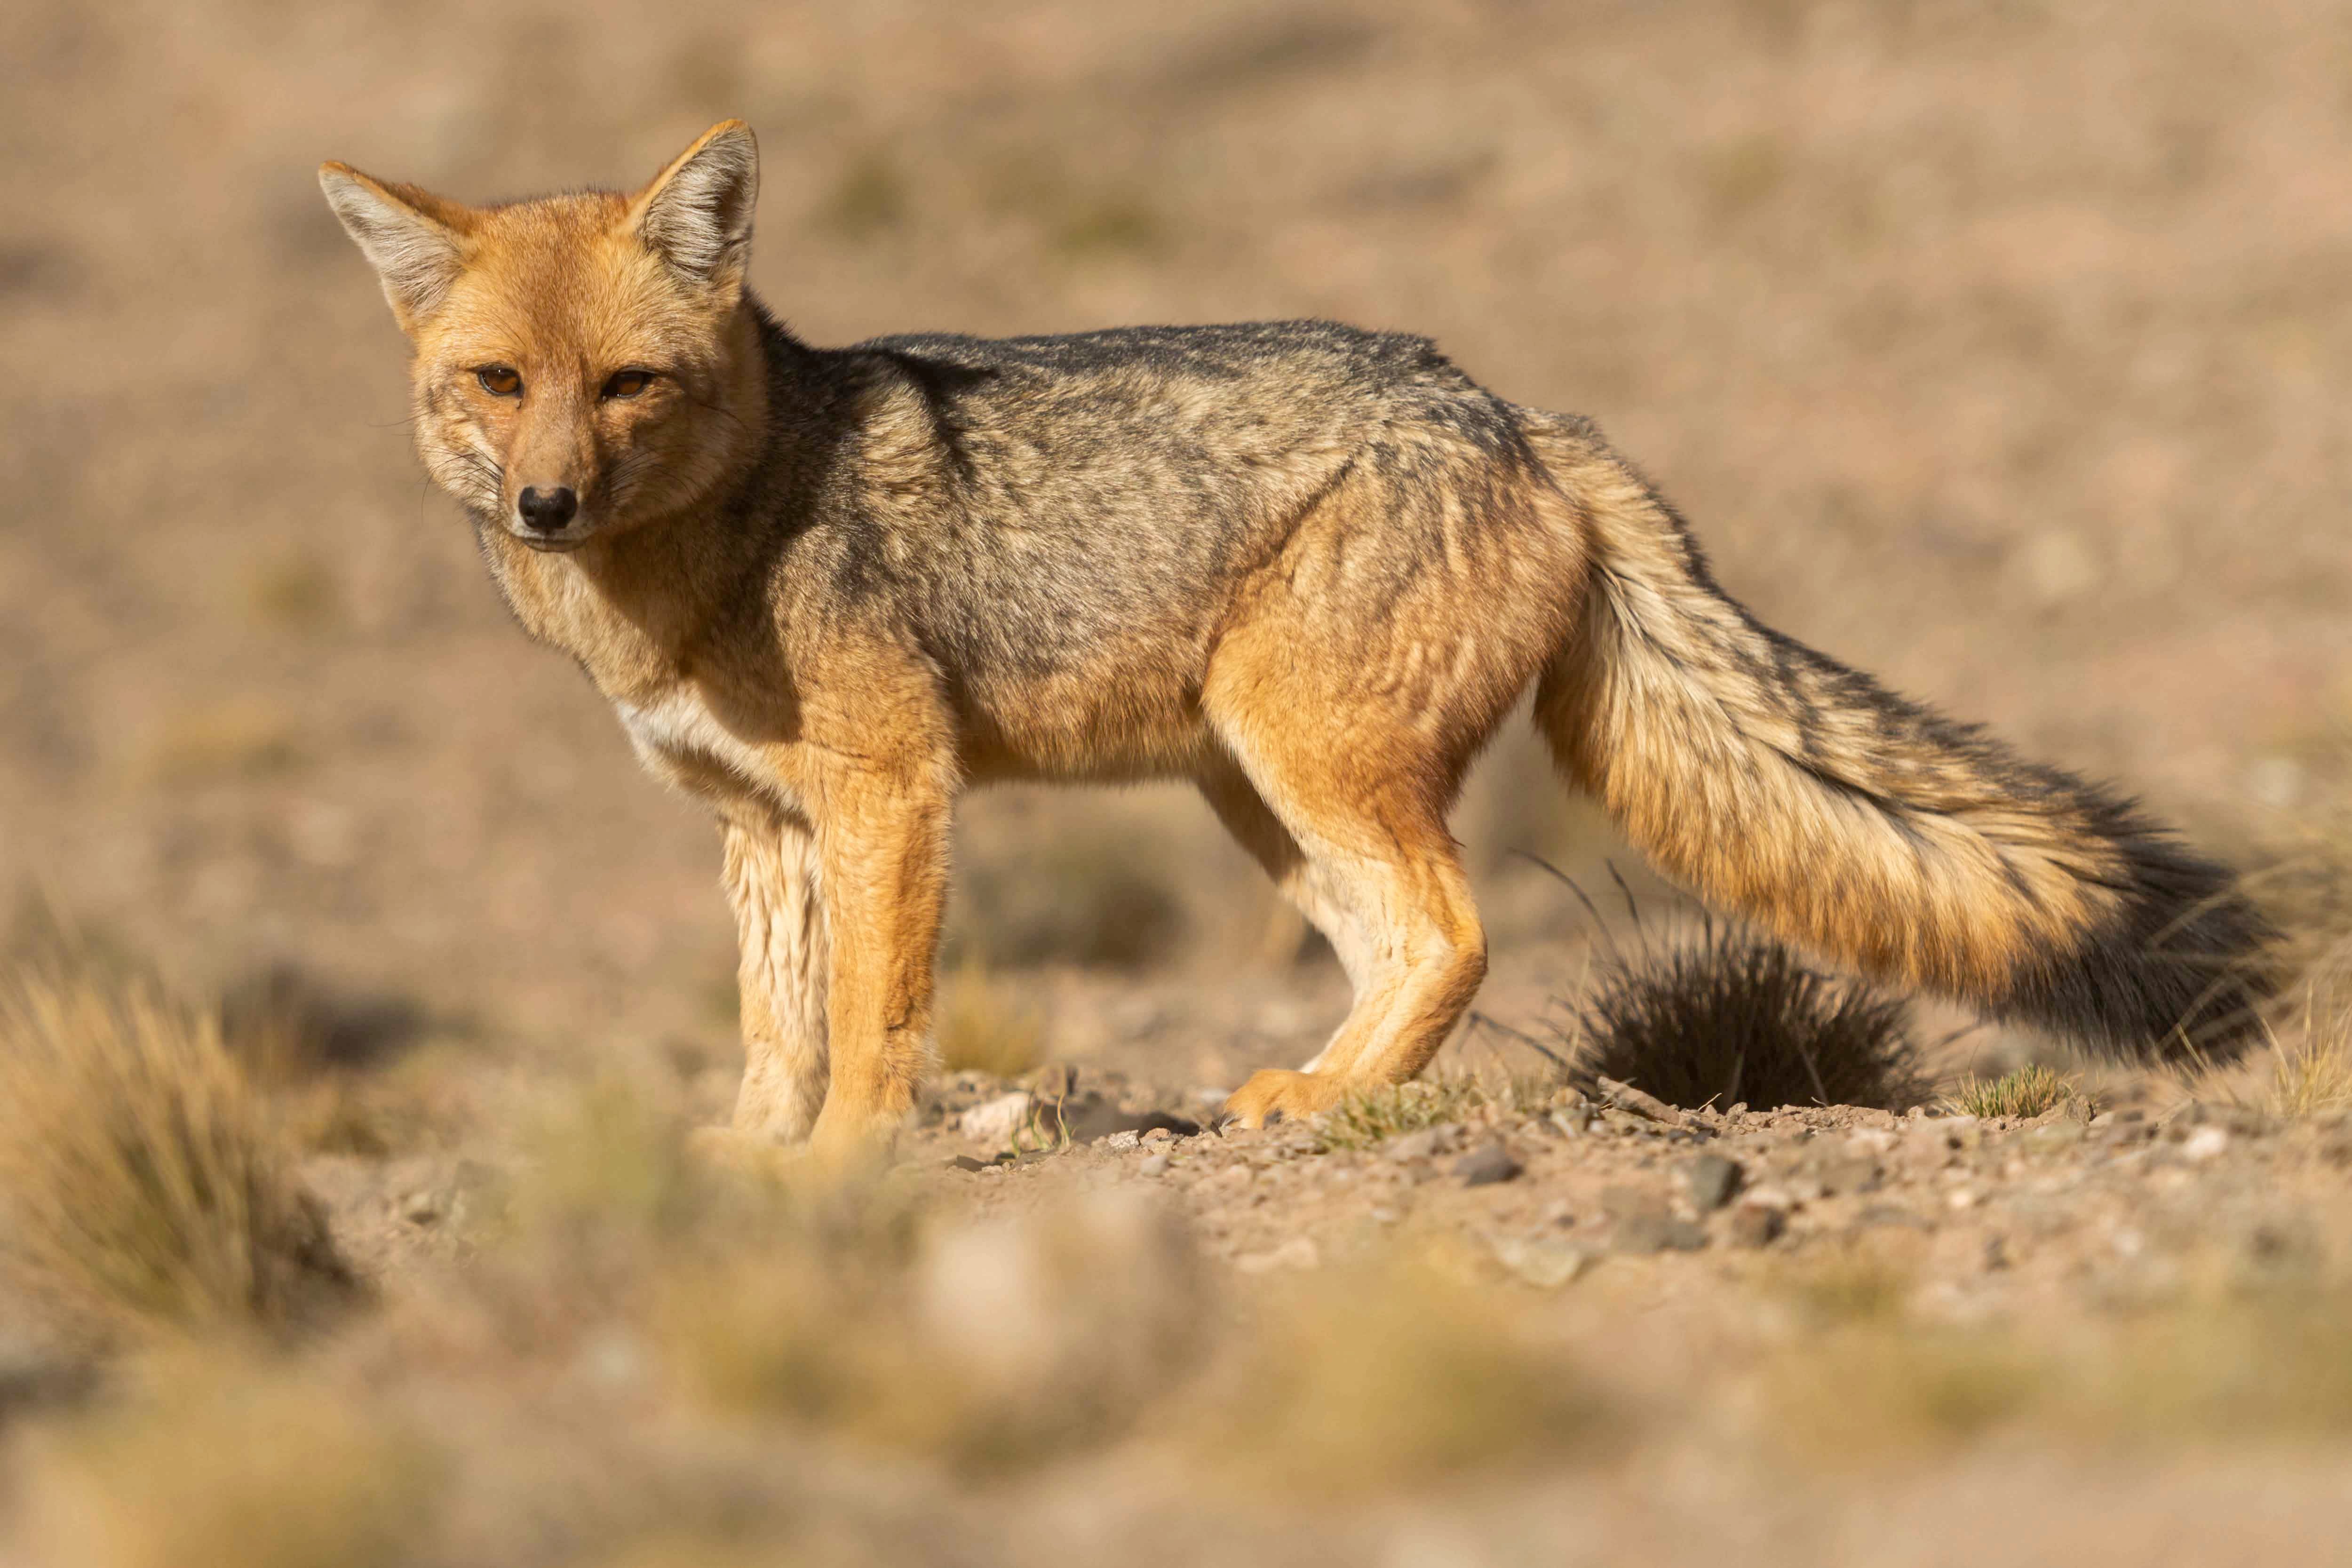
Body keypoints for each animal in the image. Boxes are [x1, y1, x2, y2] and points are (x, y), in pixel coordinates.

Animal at [322, 119, 2267, 1166]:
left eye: (626, 386)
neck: (695, 553)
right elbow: (769, 1026)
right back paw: (1313, 1093)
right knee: (1399, 943)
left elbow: (874, 1019)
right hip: (1253, 791)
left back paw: (1330, 1109)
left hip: (1298, 752)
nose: (545, 504)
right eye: (496, 384)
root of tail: (1510, 410)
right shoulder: (760, 827)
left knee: (1459, 929)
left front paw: (846, 1168)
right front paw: (750, 1152)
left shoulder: (892, 790)